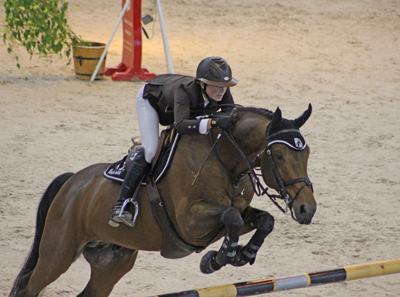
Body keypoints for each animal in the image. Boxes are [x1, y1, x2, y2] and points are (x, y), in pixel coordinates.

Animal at [8, 104, 316, 296]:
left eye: (307, 153)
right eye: (279, 155)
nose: (307, 209)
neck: (225, 160)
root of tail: (72, 183)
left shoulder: (235, 211)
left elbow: (263, 220)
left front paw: (243, 254)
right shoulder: (190, 223)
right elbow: (231, 218)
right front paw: (218, 259)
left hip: (111, 262)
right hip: (57, 254)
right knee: (29, 287)